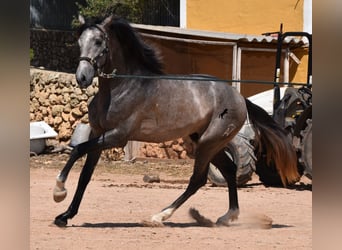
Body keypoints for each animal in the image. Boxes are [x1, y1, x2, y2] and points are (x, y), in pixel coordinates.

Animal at [51, 15, 300, 227]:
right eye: (79, 41)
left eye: (99, 41)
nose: (82, 77)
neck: (120, 87)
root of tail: (239, 97)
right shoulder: (97, 133)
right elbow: (85, 175)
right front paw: (65, 215)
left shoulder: (117, 136)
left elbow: (76, 150)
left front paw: (59, 191)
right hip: (206, 141)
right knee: (229, 170)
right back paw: (227, 216)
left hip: (209, 143)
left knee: (198, 180)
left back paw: (160, 216)